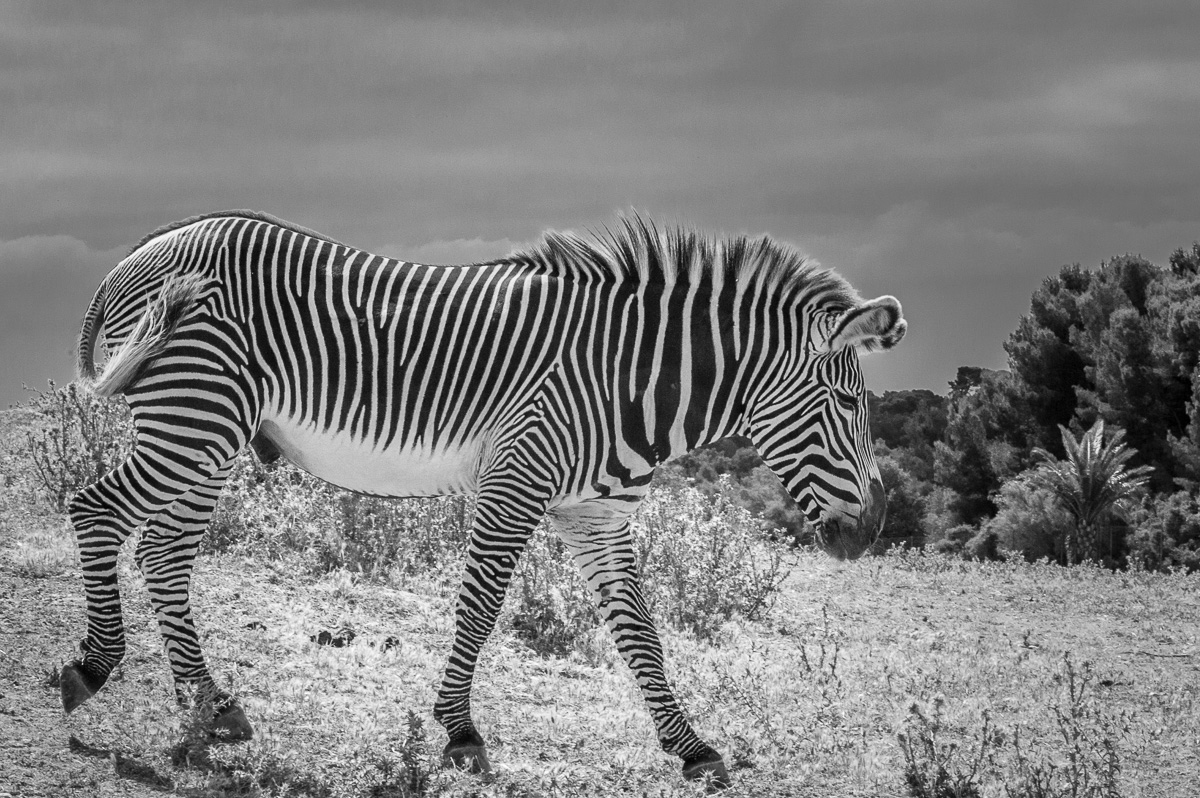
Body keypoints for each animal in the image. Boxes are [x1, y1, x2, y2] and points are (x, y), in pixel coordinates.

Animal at [62, 210, 906, 787]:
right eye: (844, 401)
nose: (872, 530)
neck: (630, 378)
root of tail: (140, 251)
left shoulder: (598, 515)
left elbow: (641, 634)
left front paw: (690, 746)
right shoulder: (516, 481)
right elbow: (480, 606)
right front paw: (460, 732)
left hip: (210, 435)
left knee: (164, 555)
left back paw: (209, 705)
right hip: (196, 416)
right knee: (97, 511)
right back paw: (95, 666)